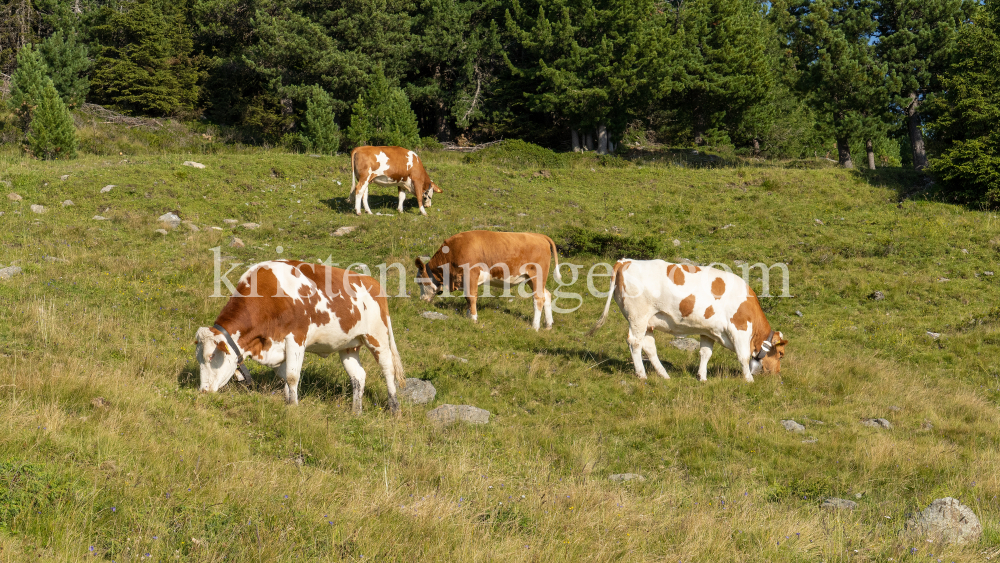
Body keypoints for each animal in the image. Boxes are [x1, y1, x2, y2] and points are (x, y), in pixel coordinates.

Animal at [195, 260, 406, 414]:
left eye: (211, 356)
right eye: (198, 359)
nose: (203, 391)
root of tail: (373, 282)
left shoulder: (296, 338)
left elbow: (292, 376)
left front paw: (293, 407)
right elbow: (284, 375)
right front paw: (287, 400)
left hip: (377, 337)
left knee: (388, 370)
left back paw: (394, 408)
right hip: (348, 345)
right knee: (358, 376)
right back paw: (356, 411)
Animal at [414, 231, 568, 332]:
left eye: (420, 282)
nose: (421, 300)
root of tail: (539, 236)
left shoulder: (471, 273)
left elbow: (471, 297)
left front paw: (473, 318)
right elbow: (468, 297)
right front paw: (469, 315)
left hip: (537, 275)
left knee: (538, 299)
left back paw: (535, 327)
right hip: (531, 278)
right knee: (547, 295)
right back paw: (548, 325)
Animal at [584, 260, 788, 384]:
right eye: (781, 354)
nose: (778, 374)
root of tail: (625, 261)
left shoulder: (709, 331)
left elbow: (705, 353)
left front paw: (702, 377)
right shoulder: (740, 329)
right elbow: (743, 357)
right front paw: (749, 380)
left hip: (647, 321)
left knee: (648, 347)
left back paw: (664, 375)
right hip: (637, 317)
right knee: (634, 343)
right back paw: (642, 374)